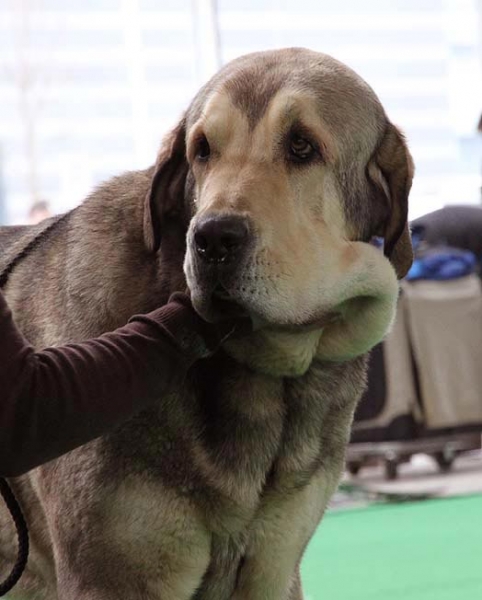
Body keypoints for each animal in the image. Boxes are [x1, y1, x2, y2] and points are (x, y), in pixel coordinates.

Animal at [0, 49, 414, 596]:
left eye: (301, 145)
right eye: (202, 151)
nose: (213, 238)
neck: (263, 385)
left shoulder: (274, 568)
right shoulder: (109, 578)